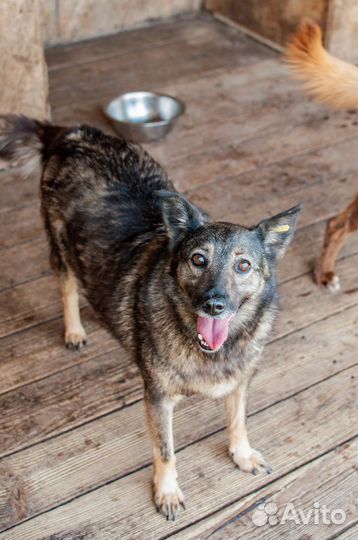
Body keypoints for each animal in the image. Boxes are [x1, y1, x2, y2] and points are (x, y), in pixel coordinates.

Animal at [0, 113, 302, 520]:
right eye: (198, 260)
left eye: (243, 266)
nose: (214, 305)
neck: (209, 350)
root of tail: (72, 132)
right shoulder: (157, 399)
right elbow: (165, 450)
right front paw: (167, 492)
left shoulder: (239, 382)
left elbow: (238, 421)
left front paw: (242, 454)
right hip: (60, 248)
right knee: (67, 288)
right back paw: (75, 330)